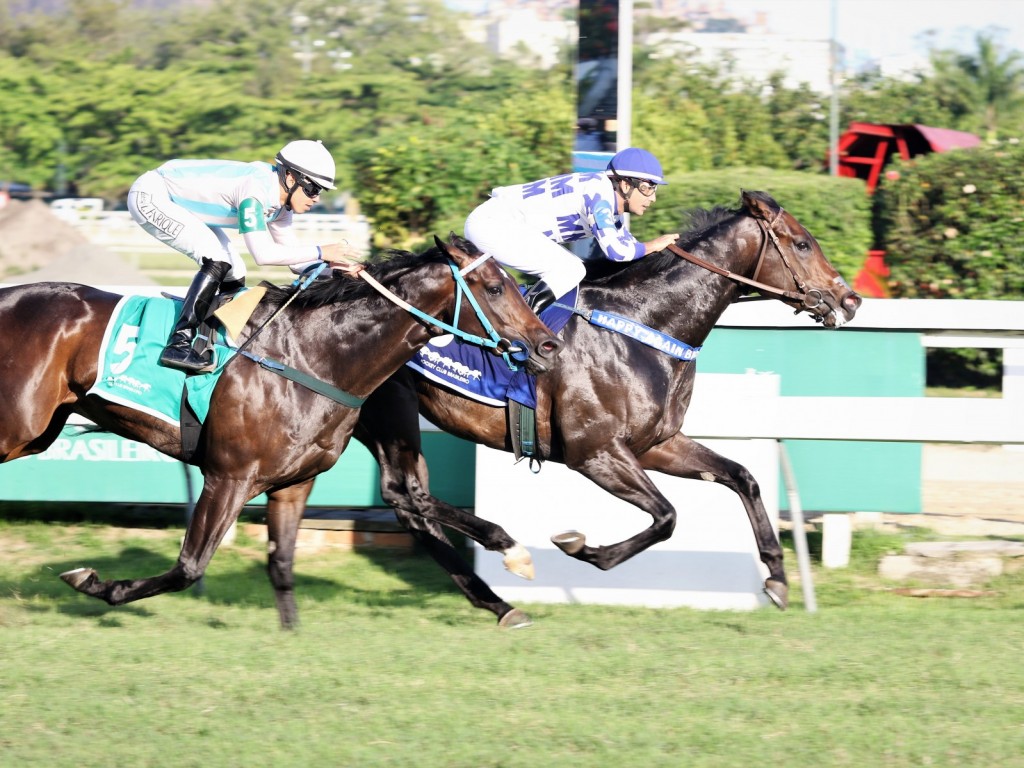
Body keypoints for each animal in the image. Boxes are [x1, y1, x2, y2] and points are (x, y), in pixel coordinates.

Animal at [0, 234, 561, 614]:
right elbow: (189, 567)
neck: (318, 355)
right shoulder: (229, 476)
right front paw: (95, 583)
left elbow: (283, 563)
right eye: (496, 287)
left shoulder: (293, 482)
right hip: (18, 428)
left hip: (38, 432)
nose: (547, 345)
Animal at [262, 189, 864, 626]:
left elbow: (742, 477)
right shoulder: (595, 452)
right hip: (385, 410)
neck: (646, 324)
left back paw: (497, 600)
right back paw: (505, 562)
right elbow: (666, 516)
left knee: (409, 500)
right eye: (802, 243)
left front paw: (777, 579)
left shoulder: (657, 444)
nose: (850, 299)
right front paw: (580, 548)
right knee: (404, 495)